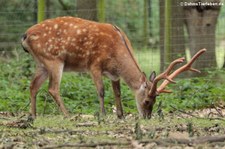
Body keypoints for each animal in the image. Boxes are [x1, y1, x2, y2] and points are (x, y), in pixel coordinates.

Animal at [21, 16, 206, 118]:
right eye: (147, 100)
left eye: (155, 100)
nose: (147, 116)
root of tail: (24, 36)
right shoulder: (93, 64)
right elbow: (101, 91)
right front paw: (103, 115)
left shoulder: (114, 75)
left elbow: (118, 92)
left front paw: (121, 115)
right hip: (54, 60)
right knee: (52, 88)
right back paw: (68, 116)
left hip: (42, 63)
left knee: (33, 85)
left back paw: (33, 115)